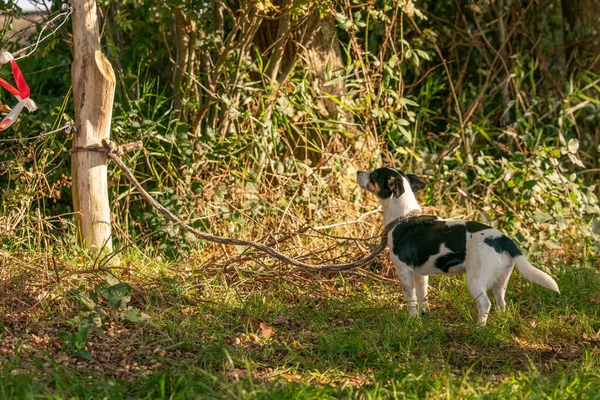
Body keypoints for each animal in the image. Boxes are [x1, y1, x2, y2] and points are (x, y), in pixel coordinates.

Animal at [356, 167, 556, 324]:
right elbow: (422, 296)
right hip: (500, 282)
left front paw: (412, 319)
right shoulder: (421, 275)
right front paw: (424, 315)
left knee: (485, 304)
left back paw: (479, 328)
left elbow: (410, 299)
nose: (358, 172)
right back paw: (500, 322)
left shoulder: (404, 272)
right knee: (501, 303)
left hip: (475, 281)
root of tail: (502, 239)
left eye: (374, 174)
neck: (403, 217)